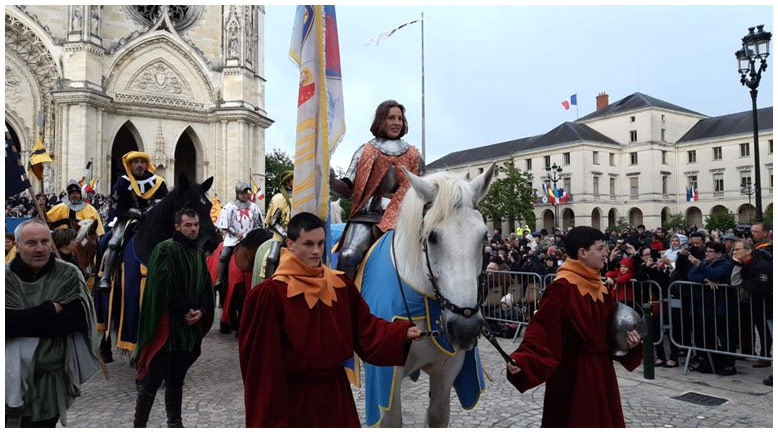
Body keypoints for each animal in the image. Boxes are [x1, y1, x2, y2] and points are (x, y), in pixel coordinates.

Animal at [360, 164, 494, 428]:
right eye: (432, 237)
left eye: (484, 236)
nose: (465, 328)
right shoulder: (385, 383)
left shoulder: (447, 372)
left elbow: (438, 415)